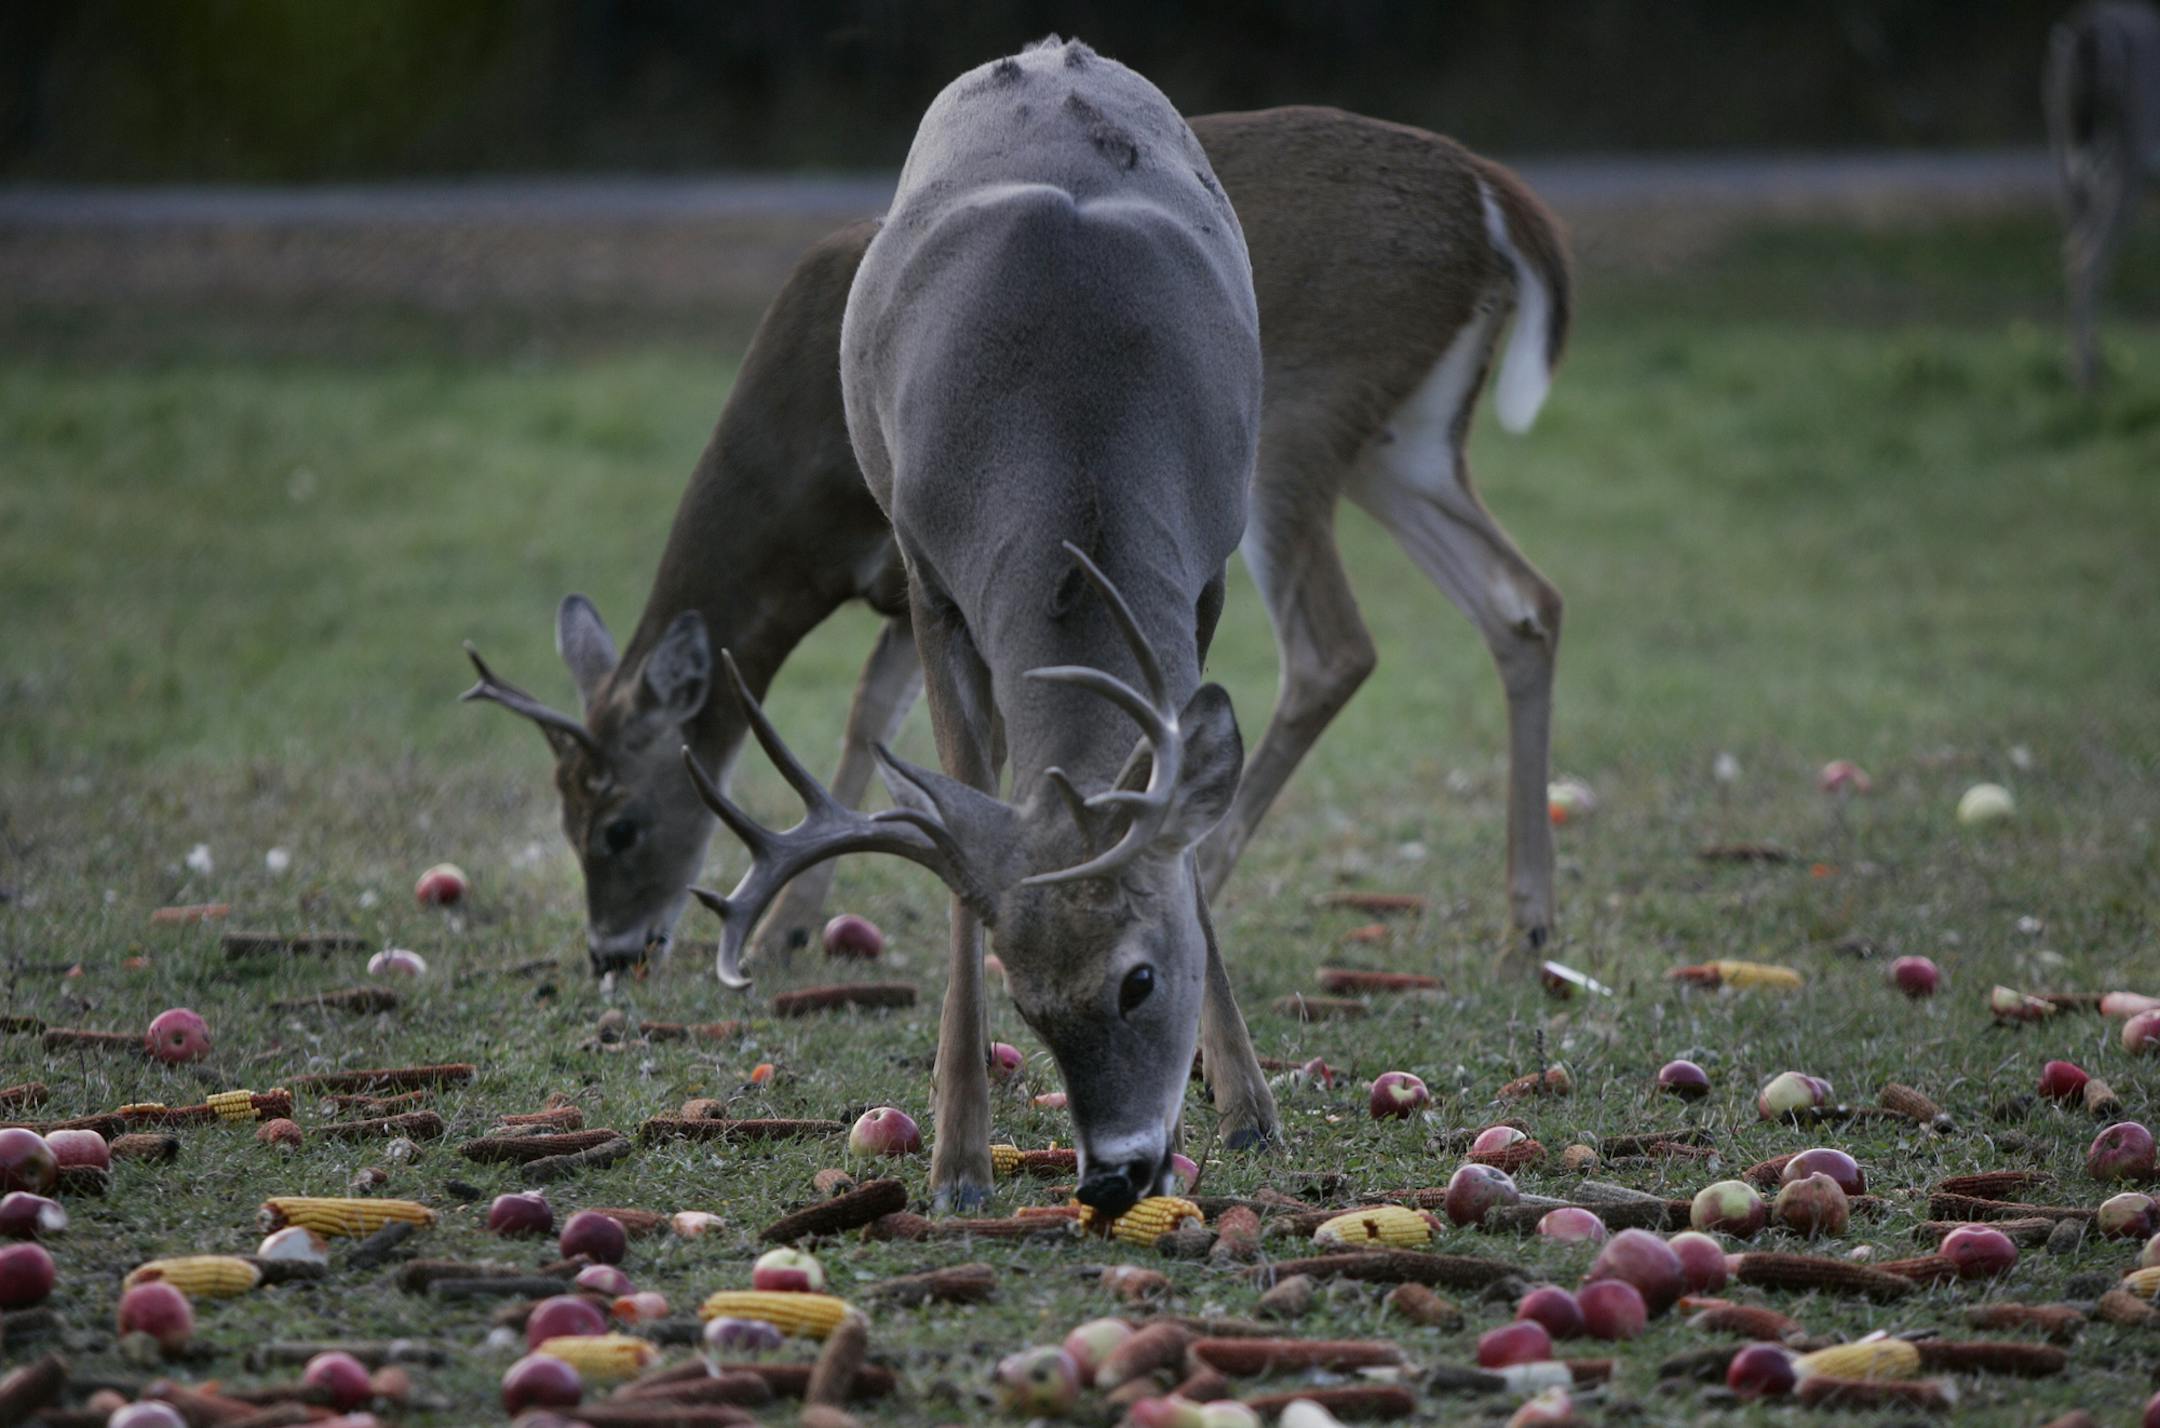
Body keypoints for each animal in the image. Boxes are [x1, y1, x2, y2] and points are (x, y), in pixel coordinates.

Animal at [462, 104, 1569, 1001]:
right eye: (561, 817)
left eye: (619, 825)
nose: (611, 953)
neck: (800, 483)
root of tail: (1494, 199)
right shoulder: (913, 574)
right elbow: (874, 722)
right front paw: (793, 929)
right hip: (1405, 439)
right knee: (1524, 601)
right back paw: (1530, 925)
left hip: (1298, 418)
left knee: (1335, 647)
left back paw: (1206, 881)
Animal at [2045, 0, 2160, 389]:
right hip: (2129, 159)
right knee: (2089, 256)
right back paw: (2089, 377)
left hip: (2067, 164)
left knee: (2074, 250)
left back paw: (2080, 367)